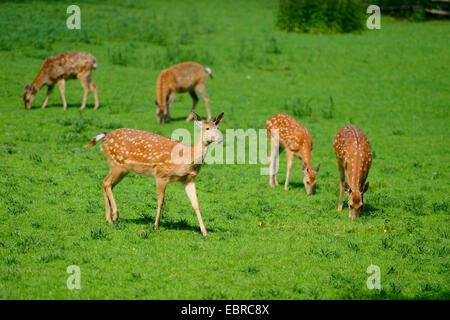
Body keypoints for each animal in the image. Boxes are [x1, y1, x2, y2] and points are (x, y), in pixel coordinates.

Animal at [85, 111, 224, 236]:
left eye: (218, 128)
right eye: (207, 128)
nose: (220, 139)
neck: (186, 158)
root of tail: (105, 137)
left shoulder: (189, 179)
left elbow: (196, 203)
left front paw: (204, 232)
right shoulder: (161, 174)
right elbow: (161, 201)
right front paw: (156, 226)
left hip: (121, 168)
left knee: (106, 183)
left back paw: (109, 218)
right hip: (117, 164)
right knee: (106, 183)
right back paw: (114, 216)